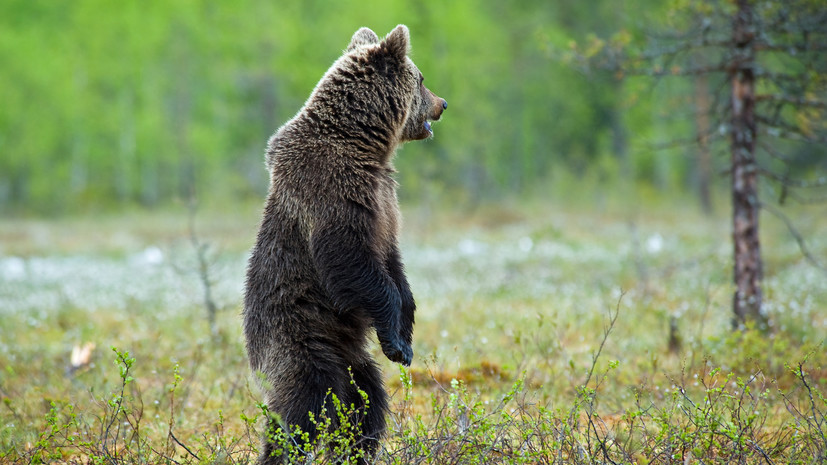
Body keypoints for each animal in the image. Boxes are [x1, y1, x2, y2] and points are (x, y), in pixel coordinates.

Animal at [243, 26, 446, 464]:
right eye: (421, 78)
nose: (442, 104)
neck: (365, 145)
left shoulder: (385, 201)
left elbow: (394, 265)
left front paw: (405, 336)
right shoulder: (334, 191)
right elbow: (349, 258)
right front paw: (397, 345)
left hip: (351, 356)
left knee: (365, 400)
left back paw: (354, 448)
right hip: (299, 338)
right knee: (302, 404)